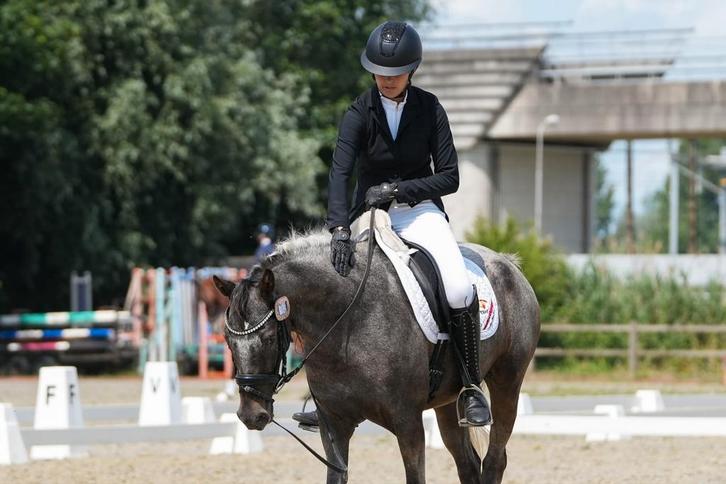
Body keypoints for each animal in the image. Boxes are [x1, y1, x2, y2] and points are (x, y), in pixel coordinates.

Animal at [213, 228, 540, 484]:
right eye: (228, 341)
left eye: (269, 338)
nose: (251, 415)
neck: (347, 323)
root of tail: (508, 263)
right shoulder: (334, 425)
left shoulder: (408, 423)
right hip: (447, 402)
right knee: (468, 465)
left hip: (507, 382)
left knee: (495, 459)